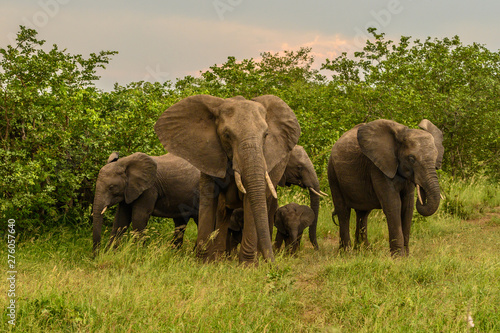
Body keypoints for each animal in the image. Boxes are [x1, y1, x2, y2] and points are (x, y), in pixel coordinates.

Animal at [154, 93, 298, 262]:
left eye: (266, 135)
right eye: (227, 135)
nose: (273, 264)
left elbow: (251, 200)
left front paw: (247, 265)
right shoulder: (207, 155)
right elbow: (208, 200)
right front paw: (203, 262)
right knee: (223, 212)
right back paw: (219, 259)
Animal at [330, 118, 444, 254]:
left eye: (436, 156)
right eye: (411, 158)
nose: (421, 188)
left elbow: (408, 206)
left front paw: (406, 255)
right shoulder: (378, 167)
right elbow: (394, 205)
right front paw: (398, 256)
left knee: (363, 213)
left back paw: (364, 250)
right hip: (332, 173)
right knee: (343, 212)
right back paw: (346, 252)